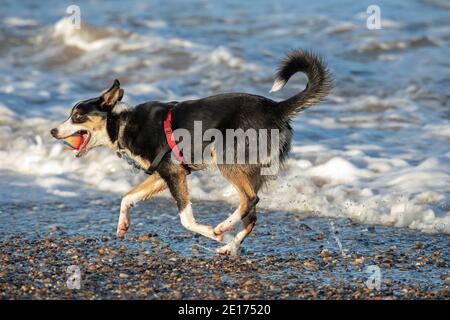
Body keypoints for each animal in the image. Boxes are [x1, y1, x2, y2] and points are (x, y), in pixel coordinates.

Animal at [51, 49, 330, 255]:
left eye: (77, 116)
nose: (53, 131)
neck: (121, 123)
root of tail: (276, 109)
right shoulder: (162, 174)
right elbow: (127, 197)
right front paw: (122, 225)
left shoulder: (175, 174)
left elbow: (186, 219)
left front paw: (210, 233)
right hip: (252, 170)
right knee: (252, 216)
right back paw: (230, 246)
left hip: (227, 158)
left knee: (249, 200)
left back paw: (222, 228)